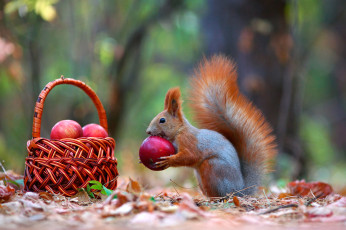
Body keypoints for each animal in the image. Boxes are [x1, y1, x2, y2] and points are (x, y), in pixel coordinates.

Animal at [145, 54, 276, 197]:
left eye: (162, 120)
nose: (148, 131)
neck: (179, 131)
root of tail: (239, 190)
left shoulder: (189, 141)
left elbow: (189, 156)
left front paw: (169, 161)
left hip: (212, 167)